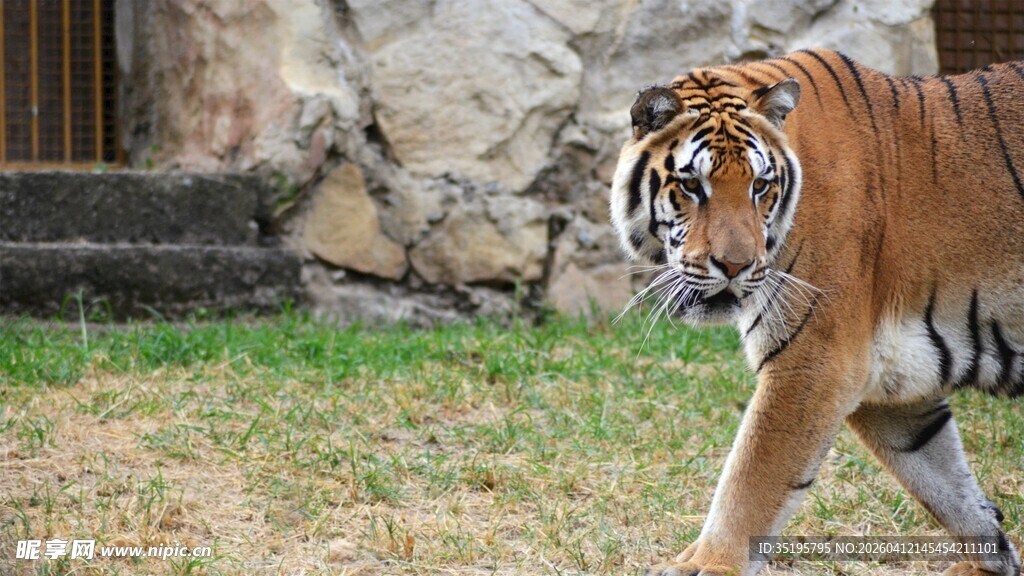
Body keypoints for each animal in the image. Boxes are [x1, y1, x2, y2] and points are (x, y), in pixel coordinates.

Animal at [609, 48, 1024, 576]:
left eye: (760, 185)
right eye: (691, 186)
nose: (735, 265)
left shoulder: (815, 361)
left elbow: (753, 475)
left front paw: (709, 564)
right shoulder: (891, 385)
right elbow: (944, 484)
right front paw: (993, 560)